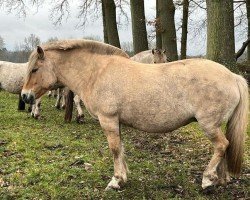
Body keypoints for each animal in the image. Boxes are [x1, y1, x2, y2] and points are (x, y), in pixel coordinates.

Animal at [21, 39, 248, 191]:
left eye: (34, 69)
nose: (25, 96)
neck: (96, 73)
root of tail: (232, 76)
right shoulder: (116, 122)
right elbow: (120, 149)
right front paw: (123, 177)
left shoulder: (108, 120)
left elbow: (114, 149)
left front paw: (116, 181)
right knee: (224, 147)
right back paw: (221, 179)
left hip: (208, 124)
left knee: (222, 145)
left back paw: (208, 179)